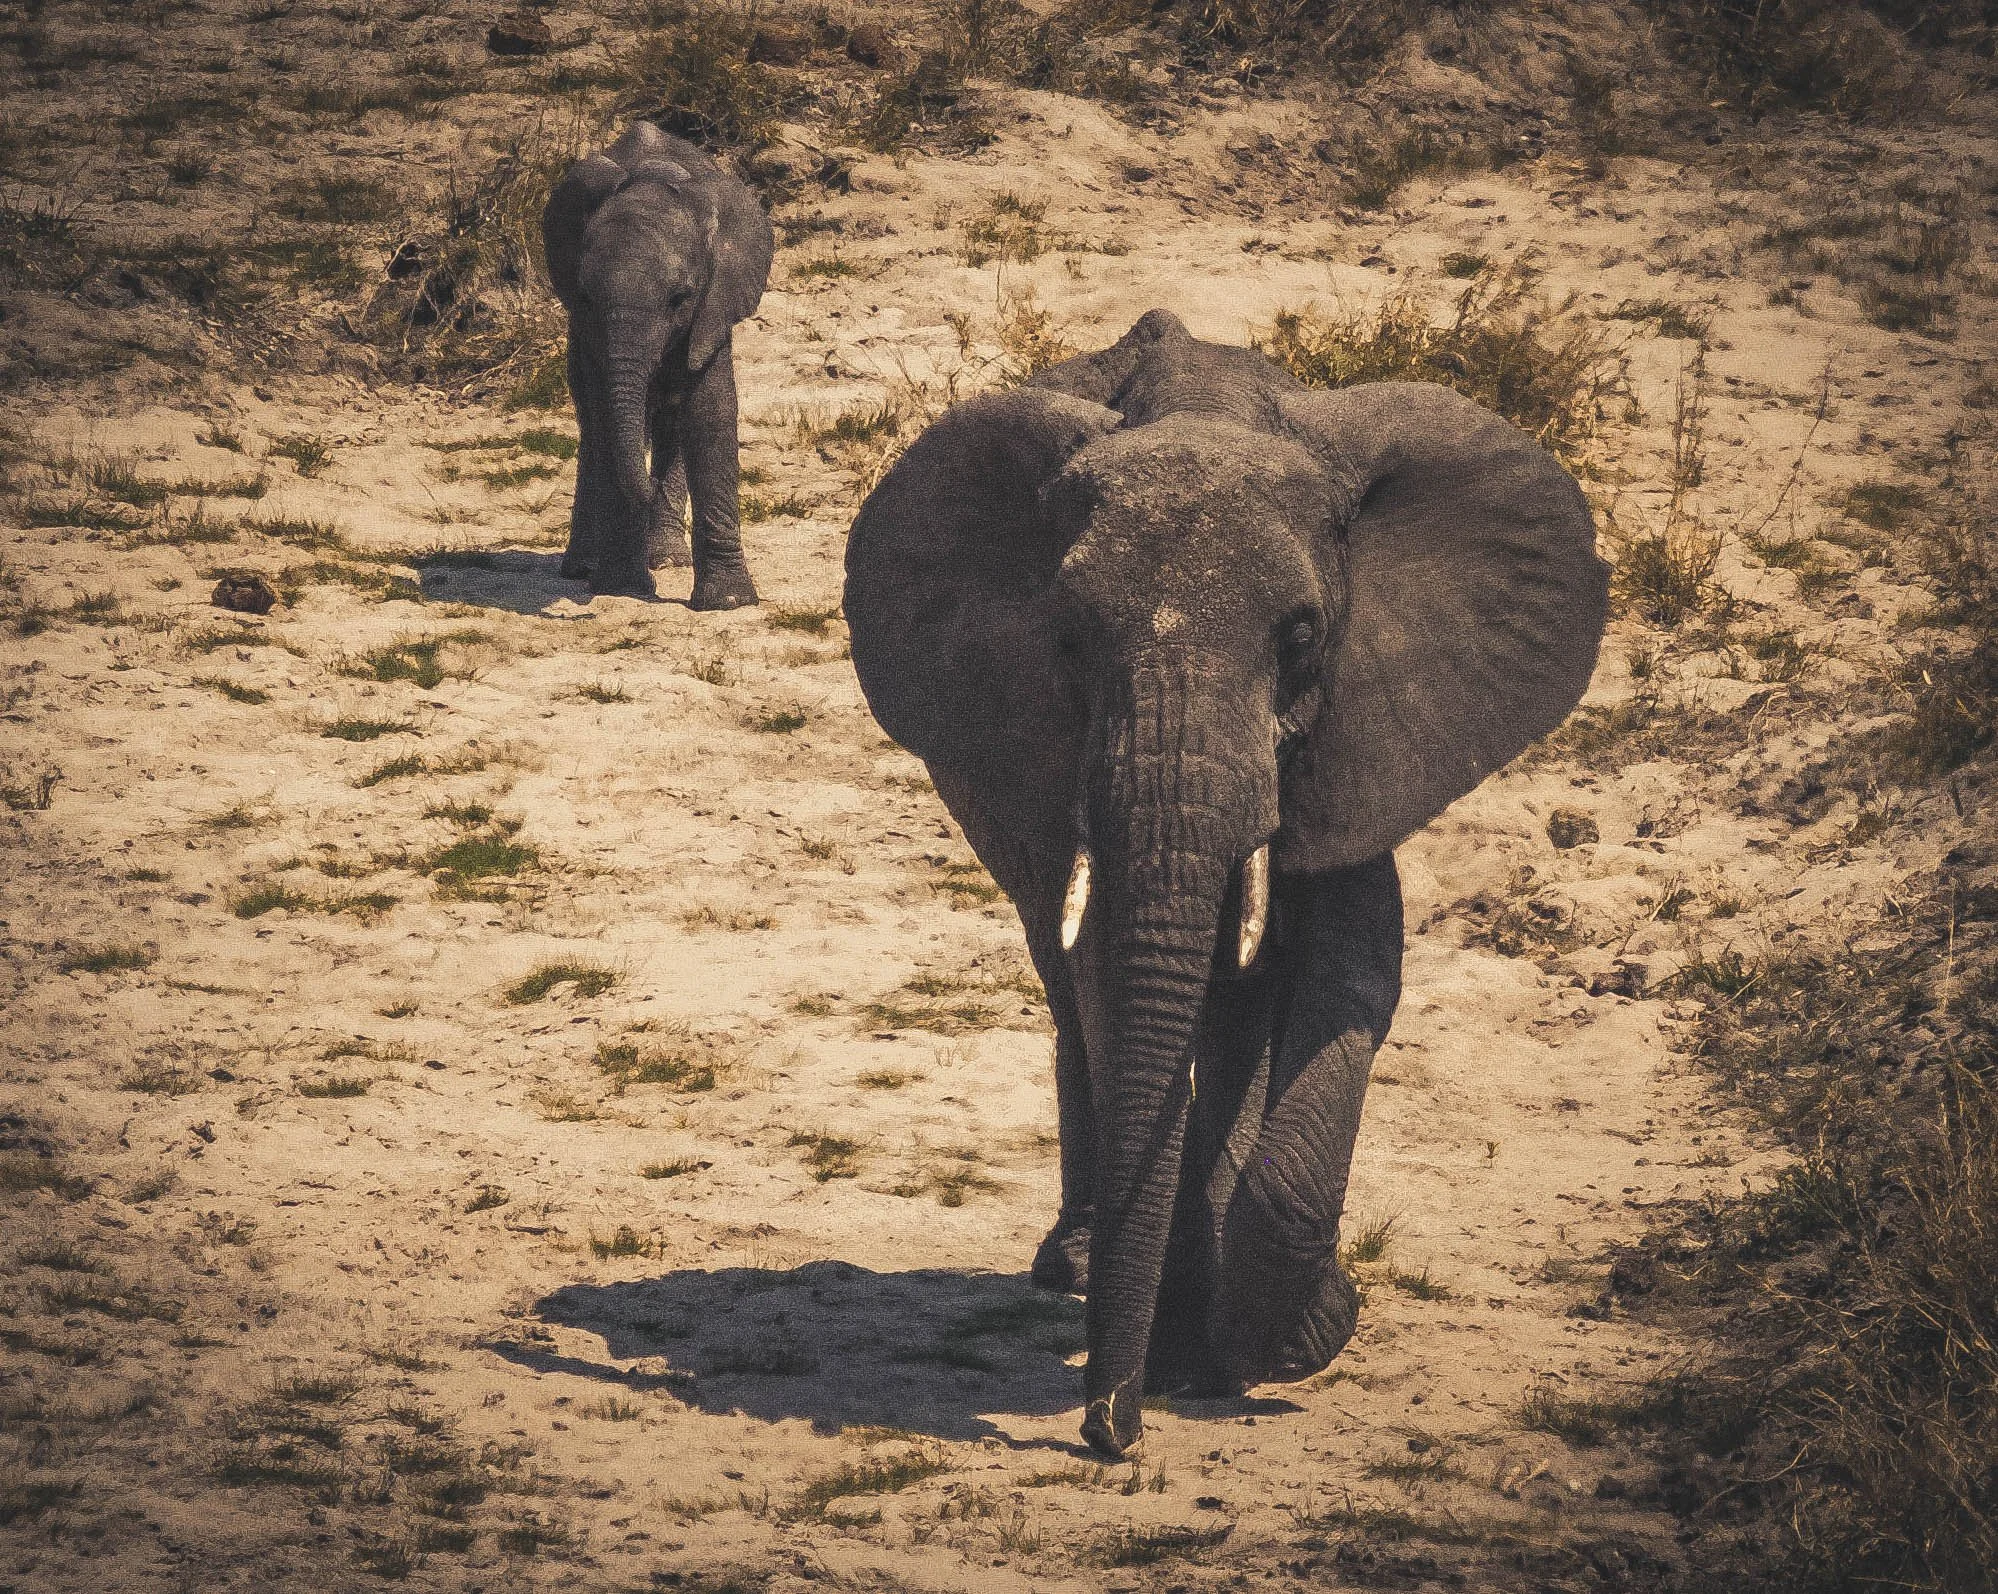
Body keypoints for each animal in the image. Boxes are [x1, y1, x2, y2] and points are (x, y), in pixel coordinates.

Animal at [541, 121, 773, 609]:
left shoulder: (714, 304)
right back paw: (585, 567)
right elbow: (608, 420)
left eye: (680, 298)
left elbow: (708, 414)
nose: (648, 493)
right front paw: (622, 589)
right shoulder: (589, 330)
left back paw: (666, 558)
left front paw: (728, 603)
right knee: (594, 427)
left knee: (667, 423)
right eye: (586, 297)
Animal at [844, 309, 1607, 1457]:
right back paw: (1082, 1266)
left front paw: (1288, 1336)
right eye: (1066, 638)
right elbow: (1116, 983)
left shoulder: (1359, 726)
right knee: (1073, 987)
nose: (1106, 1431)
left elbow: (1355, 970)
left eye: (1300, 636)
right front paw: (1225, 1346)